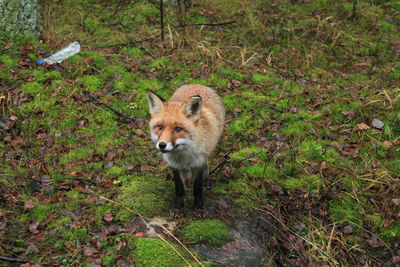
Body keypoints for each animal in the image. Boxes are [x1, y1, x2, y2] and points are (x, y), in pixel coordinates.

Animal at [146, 85, 225, 219]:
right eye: (160, 127)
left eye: (178, 129)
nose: (162, 145)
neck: (183, 155)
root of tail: (197, 84)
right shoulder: (175, 166)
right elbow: (179, 189)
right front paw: (178, 208)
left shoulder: (199, 163)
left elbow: (197, 189)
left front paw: (199, 208)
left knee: (206, 166)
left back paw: (207, 179)